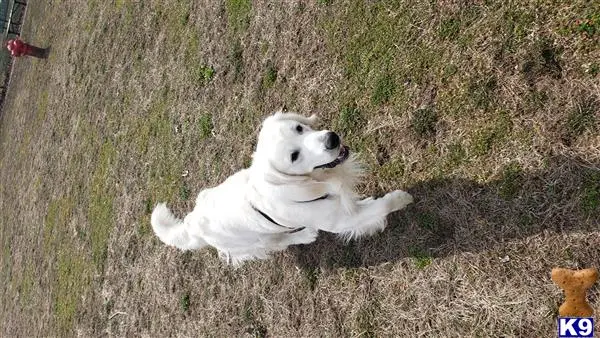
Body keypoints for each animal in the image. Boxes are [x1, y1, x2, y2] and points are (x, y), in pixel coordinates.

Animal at [150, 111, 412, 264]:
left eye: (299, 128)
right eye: (294, 156)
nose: (332, 139)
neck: (314, 180)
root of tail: (192, 222)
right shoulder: (336, 220)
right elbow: (383, 205)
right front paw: (403, 199)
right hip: (254, 241)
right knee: (278, 243)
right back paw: (305, 235)